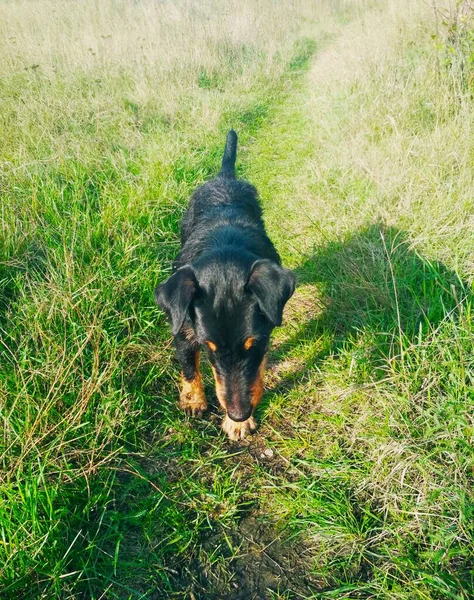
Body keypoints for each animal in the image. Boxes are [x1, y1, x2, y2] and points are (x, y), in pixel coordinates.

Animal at [155, 131, 296, 440]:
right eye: (210, 348)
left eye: (254, 344)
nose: (239, 413)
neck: (224, 244)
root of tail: (224, 177)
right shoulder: (183, 327)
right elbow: (188, 366)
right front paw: (194, 400)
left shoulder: (264, 335)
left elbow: (255, 372)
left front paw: (239, 424)